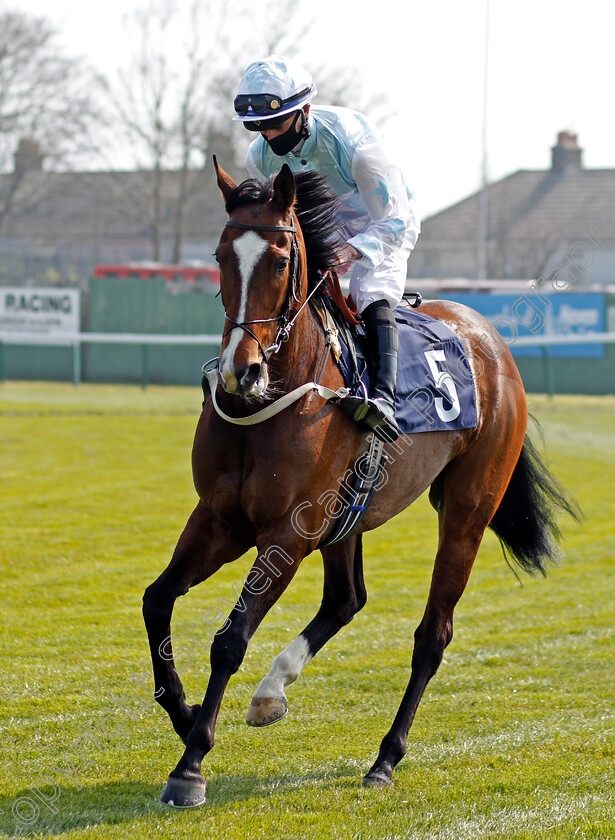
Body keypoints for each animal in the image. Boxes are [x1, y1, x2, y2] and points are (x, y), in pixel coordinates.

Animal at [142, 159, 580, 808]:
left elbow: (230, 637)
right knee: (346, 598)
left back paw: (385, 758)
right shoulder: (221, 520)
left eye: (280, 259)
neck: (273, 399)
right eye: (221, 256)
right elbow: (157, 601)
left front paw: (191, 763)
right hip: (346, 515)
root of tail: (491, 339)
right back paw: (271, 692)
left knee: (432, 634)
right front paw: (186, 713)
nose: (240, 371)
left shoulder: (285, 533)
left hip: (467, 511)